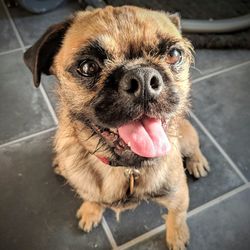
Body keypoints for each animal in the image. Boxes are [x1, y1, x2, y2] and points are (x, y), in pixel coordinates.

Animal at [24, 5, 209, 248]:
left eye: (174, 55)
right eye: (87, 67)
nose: (142, 77)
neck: (127, 169)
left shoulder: (178, 194)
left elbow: (176, 216)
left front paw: (177, 236)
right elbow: (91, 198)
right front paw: (91, 210)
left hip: (186, 136)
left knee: (195, 146)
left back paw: (197, 162)